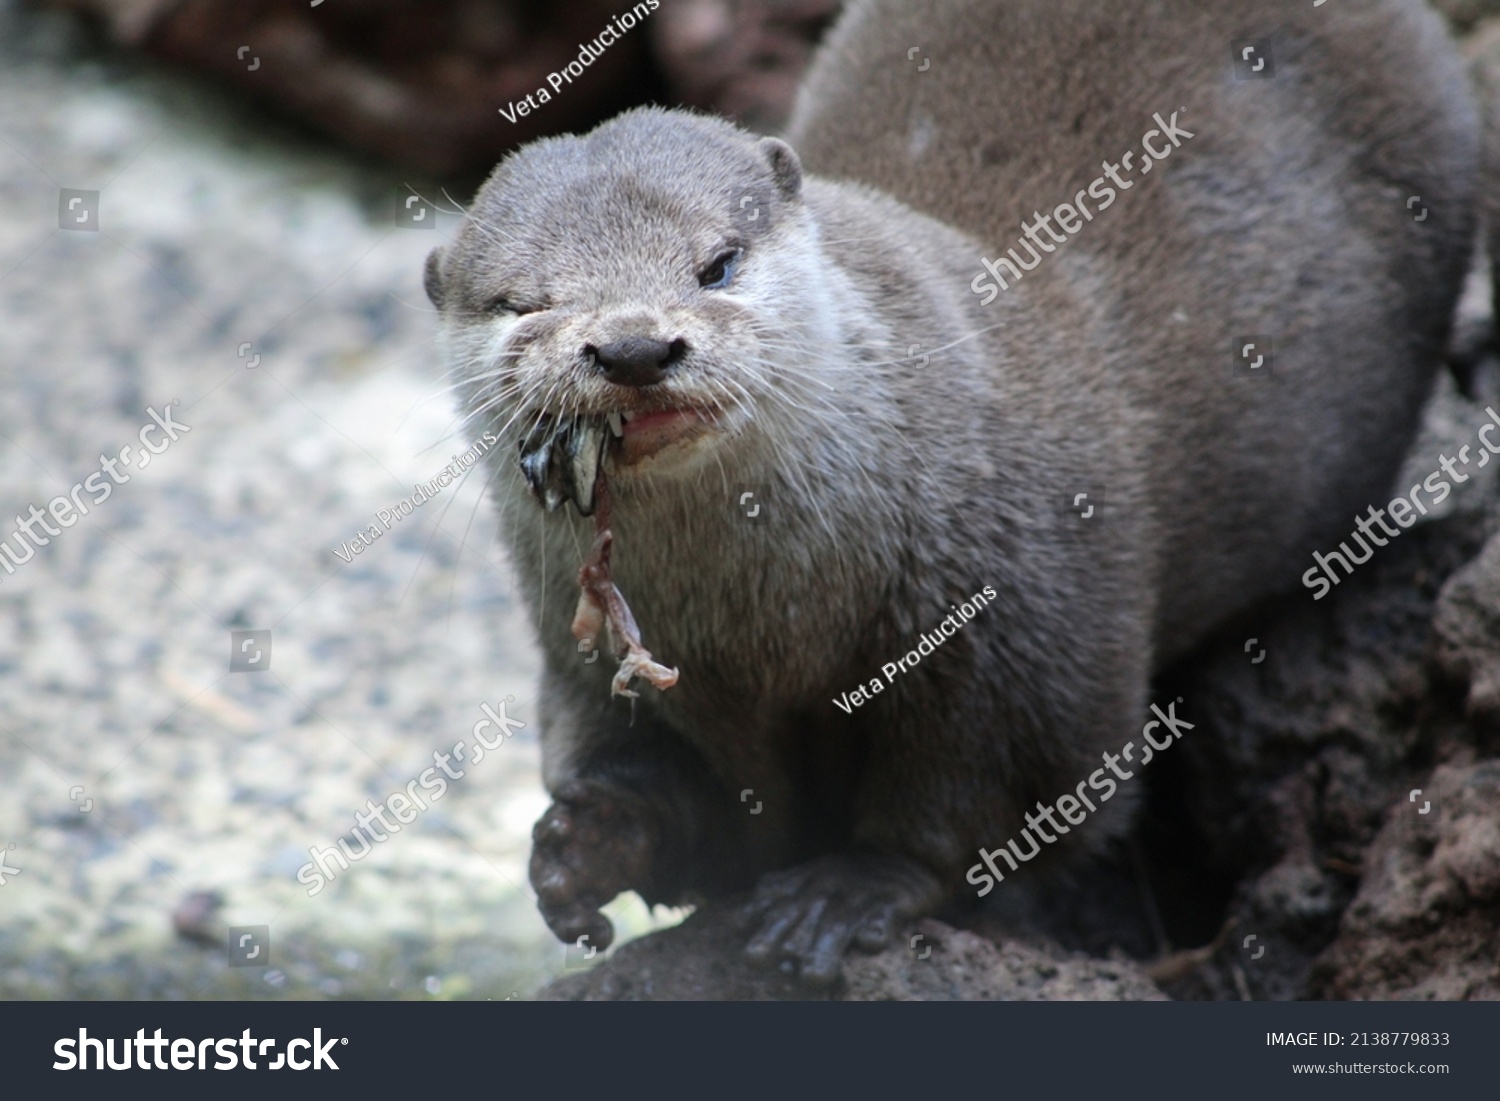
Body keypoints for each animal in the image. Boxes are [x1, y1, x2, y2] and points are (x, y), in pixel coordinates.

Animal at [423, 0, 1476, 984]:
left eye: (717, 263)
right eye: (525, 304)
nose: (635, 344)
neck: (769, 622)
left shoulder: (1027, 632)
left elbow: (986, 797)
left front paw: (845, 891)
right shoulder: (586, 655)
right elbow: (668, 788)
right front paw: (585, 846)